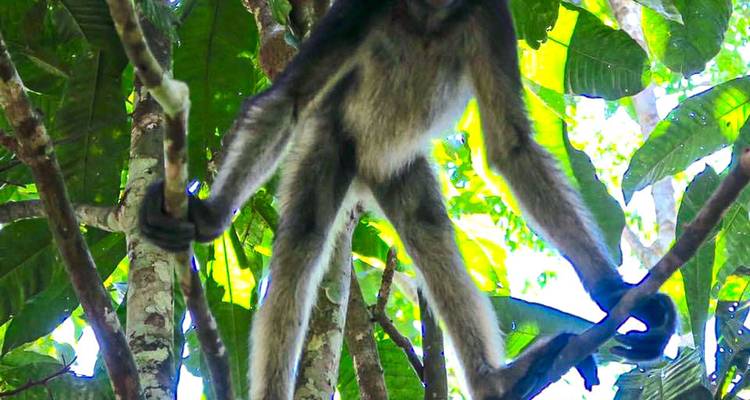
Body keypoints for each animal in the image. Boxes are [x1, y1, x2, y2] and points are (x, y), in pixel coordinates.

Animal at [139, 0, 677, 398]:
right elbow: (288, 100)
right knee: (303, 236)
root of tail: (366, 171)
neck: (428, 12)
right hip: (333, 137)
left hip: (398, 166)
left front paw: (612, 291)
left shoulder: (489, 12)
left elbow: (512, 147)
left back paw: (496, 382)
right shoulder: (361, 7)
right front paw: (208, 216)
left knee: (425, 226)